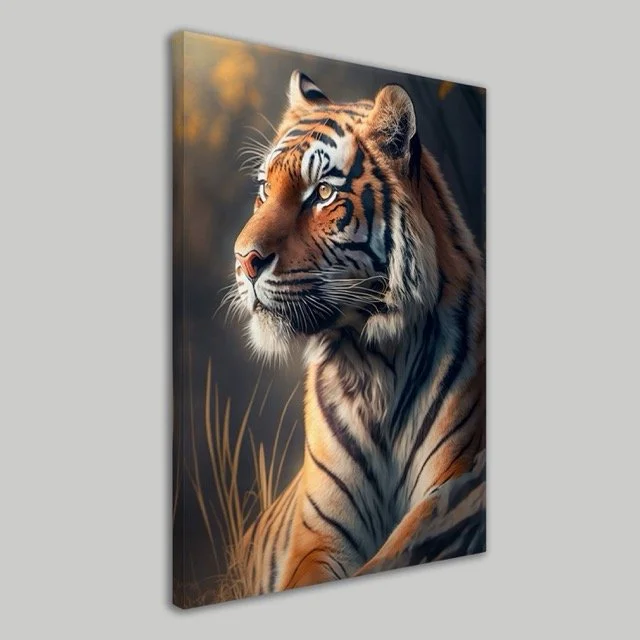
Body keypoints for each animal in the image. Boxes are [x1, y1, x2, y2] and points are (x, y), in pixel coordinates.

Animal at [228, 70, 486, 595]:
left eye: (322, 194)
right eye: (264, 189)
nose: (243, 261)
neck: (372, 358)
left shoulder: (445, 486)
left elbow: (397, 553)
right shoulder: (319, 537)